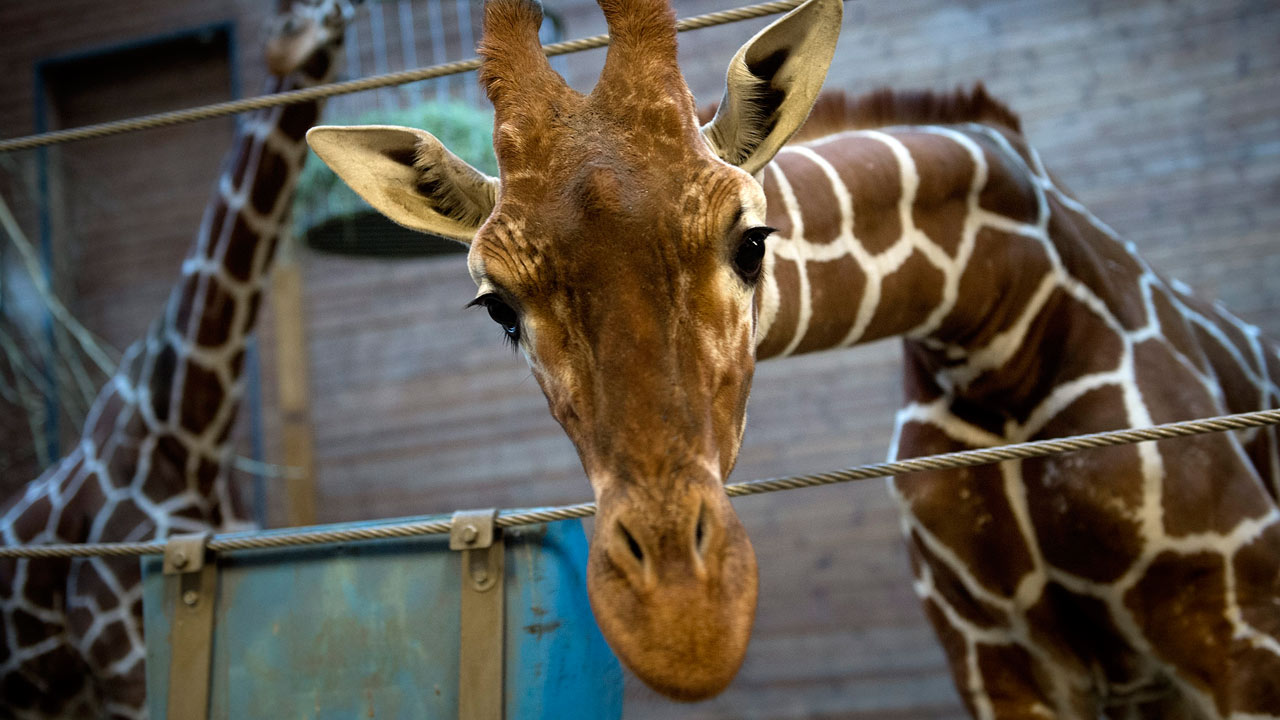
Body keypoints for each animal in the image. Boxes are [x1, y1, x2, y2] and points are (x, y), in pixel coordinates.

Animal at [308, 0, 1280, 716]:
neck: (995, 322)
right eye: (498, 307)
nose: (683, 621)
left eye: (751, 242)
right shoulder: (994, 662)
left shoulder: (1242, 635)